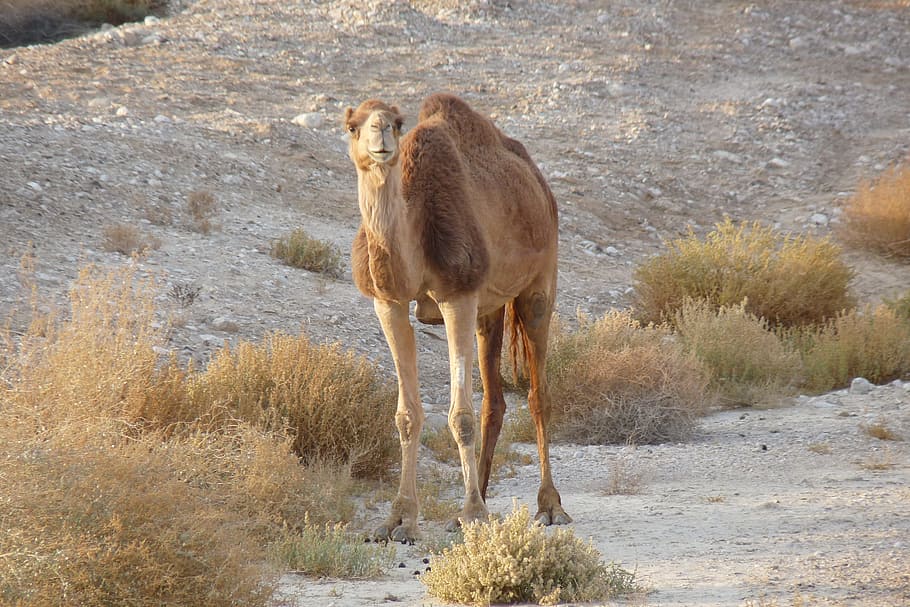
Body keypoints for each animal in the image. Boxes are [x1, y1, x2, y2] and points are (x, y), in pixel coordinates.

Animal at [344, 93, 570, 541]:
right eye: (352, 126)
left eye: (397, 122)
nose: (380, 135)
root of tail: (539, 182)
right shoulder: (388, 302)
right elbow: (407, 414)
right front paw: (398, 519)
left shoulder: (457, 295)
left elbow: (460, 415)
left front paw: (473, 514)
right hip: (490, 308)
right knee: (494, 400)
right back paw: (479, 493)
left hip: (539, 283)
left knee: (538, 396)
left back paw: (548, 505)